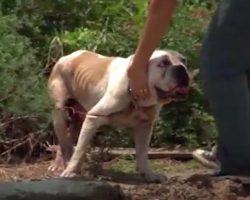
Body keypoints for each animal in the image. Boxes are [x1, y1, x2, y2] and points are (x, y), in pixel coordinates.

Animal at [47, 49, 189, 182]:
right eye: (163, 63)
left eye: (184, 61)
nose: (181, 68)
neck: (136, 95)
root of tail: (66, 56)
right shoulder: (94, 118)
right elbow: (81, 149)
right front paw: (71, 172)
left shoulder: (145, 127)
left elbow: (143, 153)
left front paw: (149, 175)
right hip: (60, 113)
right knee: (65, 142)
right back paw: (63, 165)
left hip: (79, 119)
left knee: (67, 139)